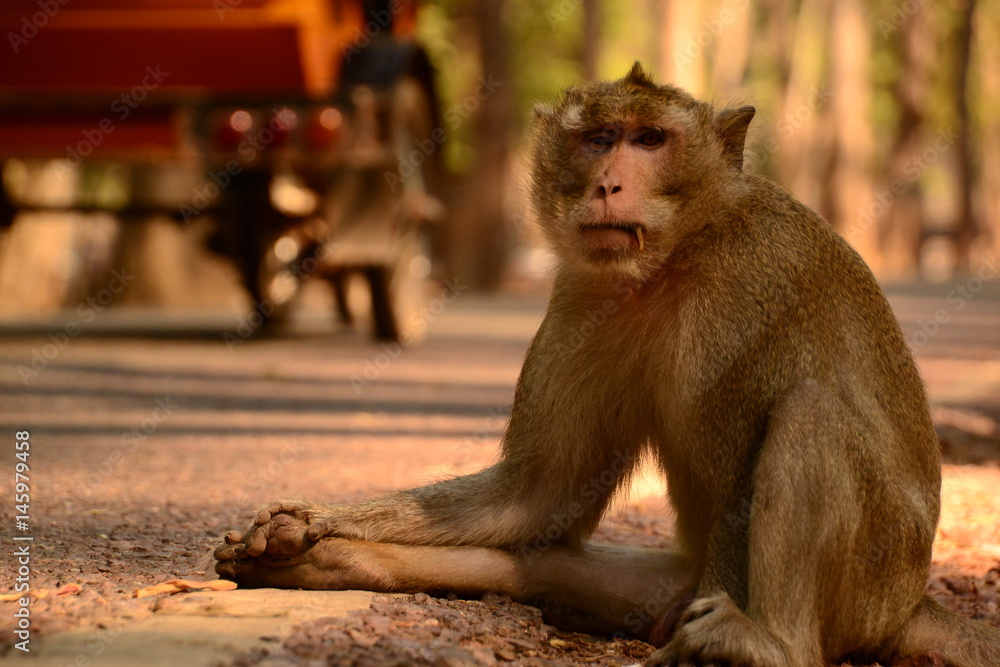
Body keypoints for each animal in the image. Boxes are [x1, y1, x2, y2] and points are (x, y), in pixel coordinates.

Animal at [215, 63, 1000, 667]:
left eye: (650, 139)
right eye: (598, 139)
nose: (607, 184)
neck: (674, 258)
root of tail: (915, 600)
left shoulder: (754, 286)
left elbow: (742, 472)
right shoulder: (580, 294)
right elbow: (537, 494)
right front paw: (312, 523)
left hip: (871, 589)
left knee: (811, 411)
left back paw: (769, 643)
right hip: (676, 586)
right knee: (542, 553)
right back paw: (334, 563)